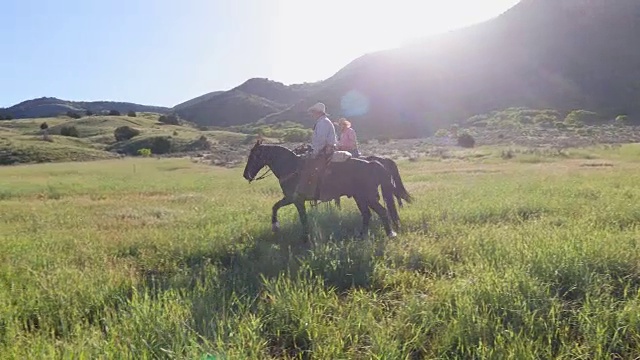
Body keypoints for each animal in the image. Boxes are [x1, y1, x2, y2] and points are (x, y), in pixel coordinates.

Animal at [241, 141, 404, 239]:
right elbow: (276, 207)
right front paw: (276, 227)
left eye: (253, 156)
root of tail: (373, 163)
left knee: (382, 212)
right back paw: (362, 235)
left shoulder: (295, 199)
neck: (291, 167)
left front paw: (303, 237)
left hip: (368, 196)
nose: (245, 174)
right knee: (367, 214)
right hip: (360, 197)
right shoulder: (291, 199)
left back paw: (391, 234)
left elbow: (299, 217)